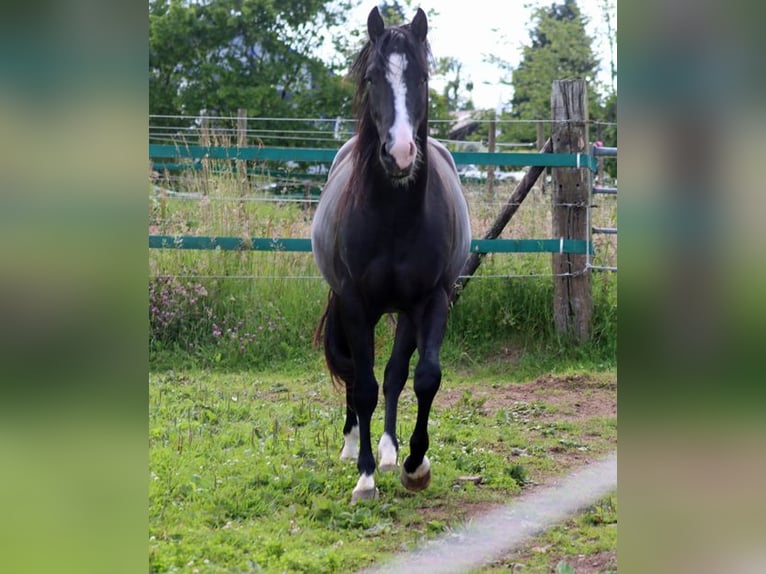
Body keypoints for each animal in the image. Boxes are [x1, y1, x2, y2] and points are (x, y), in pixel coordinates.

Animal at [311, 6, 471, 503]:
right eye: (372, 78)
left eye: (421, 76)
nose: (400, 153)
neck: (397, 219)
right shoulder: (353, 302)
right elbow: (362, 385)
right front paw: (364, 478)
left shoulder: (432, 300)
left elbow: (423, 377)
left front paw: (415, 464)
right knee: (354, 373)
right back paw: (354, 446)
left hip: (404, 312)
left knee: (396, 373)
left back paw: (388, 449)